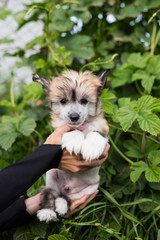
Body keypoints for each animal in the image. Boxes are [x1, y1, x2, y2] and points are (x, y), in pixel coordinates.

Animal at [32, 68, 110, 222]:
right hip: (51, 174)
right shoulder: (60, 128)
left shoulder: (102, 128)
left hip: (88, 190)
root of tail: (66, 188)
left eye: (84, 101)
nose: (74, 117)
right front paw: (74, 139)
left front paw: (91, 148)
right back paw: (47, 211)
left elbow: (96, 133)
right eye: (63, 101)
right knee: (50, 192)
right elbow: (70, 129)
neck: (83, 125)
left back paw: (61, 204)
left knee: (67, 198)